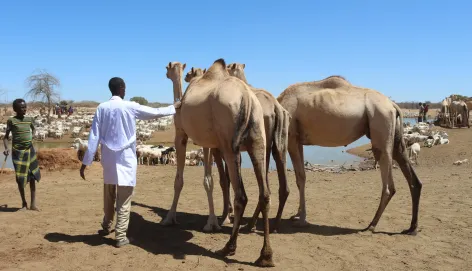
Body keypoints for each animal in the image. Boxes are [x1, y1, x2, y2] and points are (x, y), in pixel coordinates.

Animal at [163, 59, 272, 268]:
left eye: (168, 68)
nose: (166, 73)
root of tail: (247, 97)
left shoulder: (181, 135)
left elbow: (179, 180)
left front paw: (170, 218)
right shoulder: (208, 143)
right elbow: (210, 180)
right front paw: (213, 221)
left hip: (230, 144)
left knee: (241, 196)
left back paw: (228, 247)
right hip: (258, 141)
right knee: (265, 194)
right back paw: (266, 256)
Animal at [276, 75, 424, 235]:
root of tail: (392, 104)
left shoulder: (291, 137)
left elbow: (300, 178)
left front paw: (301, 219)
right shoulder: (299, 141)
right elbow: (301, 177)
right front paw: (297, 215)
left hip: (380, 125)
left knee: (389, 185)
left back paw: (371, 225)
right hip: (395, 136)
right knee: (413, 179)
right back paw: (412, 228)